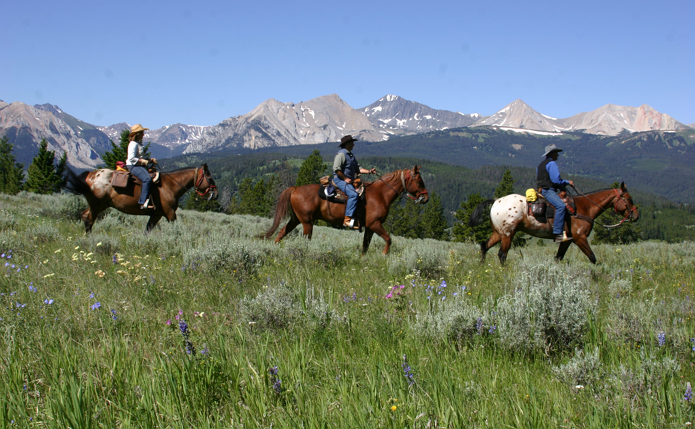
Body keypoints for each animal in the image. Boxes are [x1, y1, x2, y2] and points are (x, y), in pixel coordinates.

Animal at [66, 163, 218, 232]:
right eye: (210, 178)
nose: (216, 194)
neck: (170, 185)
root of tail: (90, 175)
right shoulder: (170, 213)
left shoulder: (156, 214)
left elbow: (147, 230)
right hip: (96, 204)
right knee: (90, 220)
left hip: (102, 205)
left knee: (84, 215)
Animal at [260, 166, 430, 254]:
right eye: (419, 180)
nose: (426, 198)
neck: (381, 194)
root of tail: (295, 189)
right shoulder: (375, 224)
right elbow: (388, 239)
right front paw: (384, 256)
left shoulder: (369, 227)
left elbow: (365, 246)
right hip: (307, 222)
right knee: (305, 239)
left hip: (296, 219)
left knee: (282, 232)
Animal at [470, 181, 640, 264]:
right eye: (629, 198)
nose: (636, 216)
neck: (585, 208)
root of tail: (496, 201)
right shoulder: (580, 238)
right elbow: (593, 258)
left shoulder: (567, 240)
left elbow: (558, 257)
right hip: (507, 234)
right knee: (502, 254)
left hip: (498, 233)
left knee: (484, 246)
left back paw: (481, 267)